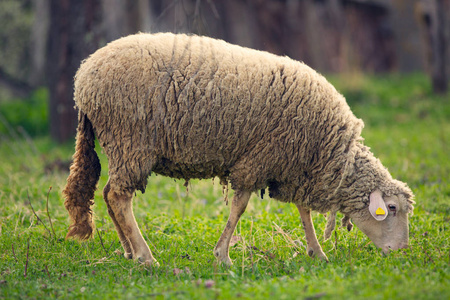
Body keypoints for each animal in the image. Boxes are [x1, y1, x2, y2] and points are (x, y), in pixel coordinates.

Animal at [62, 32, 414, 266]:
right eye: (391, 208)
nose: (402, 251)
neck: (329, 151)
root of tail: (83, 76)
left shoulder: (294, 166)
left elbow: (303, 212)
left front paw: (317, 251)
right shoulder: (258, 160)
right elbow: (240, 207)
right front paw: (223, 256)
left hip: (121, 146)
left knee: (109, 194)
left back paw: (129, 251)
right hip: (130, 140)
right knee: (119, 197)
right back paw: (146, 257)